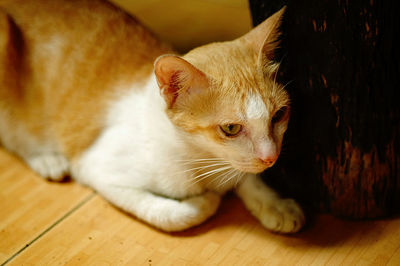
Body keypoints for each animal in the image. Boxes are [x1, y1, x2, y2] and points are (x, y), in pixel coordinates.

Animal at [0, 0, 304, 233]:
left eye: (279, 114)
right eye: (231, 128)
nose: (271, 157)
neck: (202, 159)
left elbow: (247, 177)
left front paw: (275, 203)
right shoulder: (97, 168)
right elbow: (173, 214)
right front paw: (205, 202)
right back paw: (45, 158)